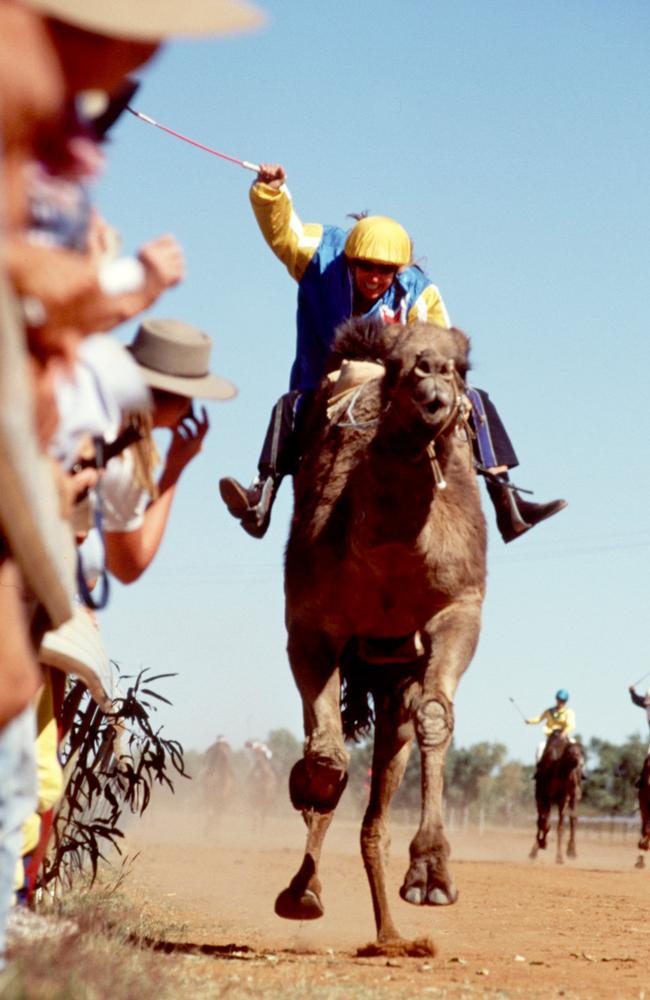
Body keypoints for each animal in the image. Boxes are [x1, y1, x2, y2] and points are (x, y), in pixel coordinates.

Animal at [274, 318, 486, 952]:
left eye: (462, 366)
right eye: (397, 366)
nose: (432, 381)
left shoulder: (460, 607)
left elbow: (437, 717)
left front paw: (433, 875)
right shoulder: (309, 625)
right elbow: (325, 759)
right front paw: (304, 788)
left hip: (395, 682)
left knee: (379, 804)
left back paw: (391, 934)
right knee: (332, 758)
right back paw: (306, 894)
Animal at [528, 732, 584, 864]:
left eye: (581, 751)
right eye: (570, 752)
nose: (580, 763)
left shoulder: (562, 799)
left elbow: (559, 827)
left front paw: (559, 857)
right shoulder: (542, 796)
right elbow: (542, 822)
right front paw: (540, 845)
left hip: (572, 798)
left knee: (573, 819)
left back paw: (572, 852)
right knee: (545, 820)